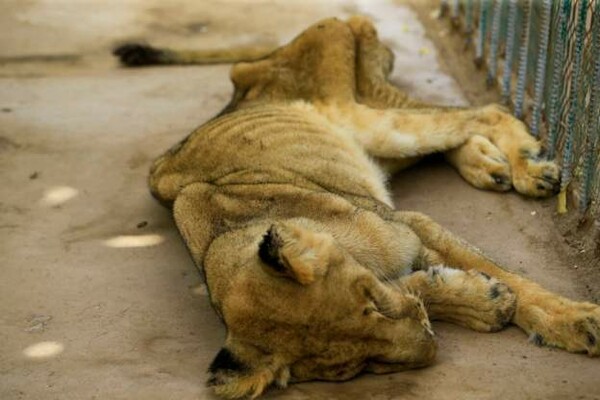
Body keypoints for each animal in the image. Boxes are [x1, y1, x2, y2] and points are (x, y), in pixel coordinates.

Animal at [113, 15, 600, 400]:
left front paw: (574, 320)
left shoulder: (410, 223)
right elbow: (429, 288)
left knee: (485, 110)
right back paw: (488, 165)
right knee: (453, 128)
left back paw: (527, 168)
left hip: (363, 116)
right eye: (362, 367)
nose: (429, 343)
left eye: (372, 303)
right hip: (375, 140)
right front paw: (482, 301)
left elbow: (513, 279)